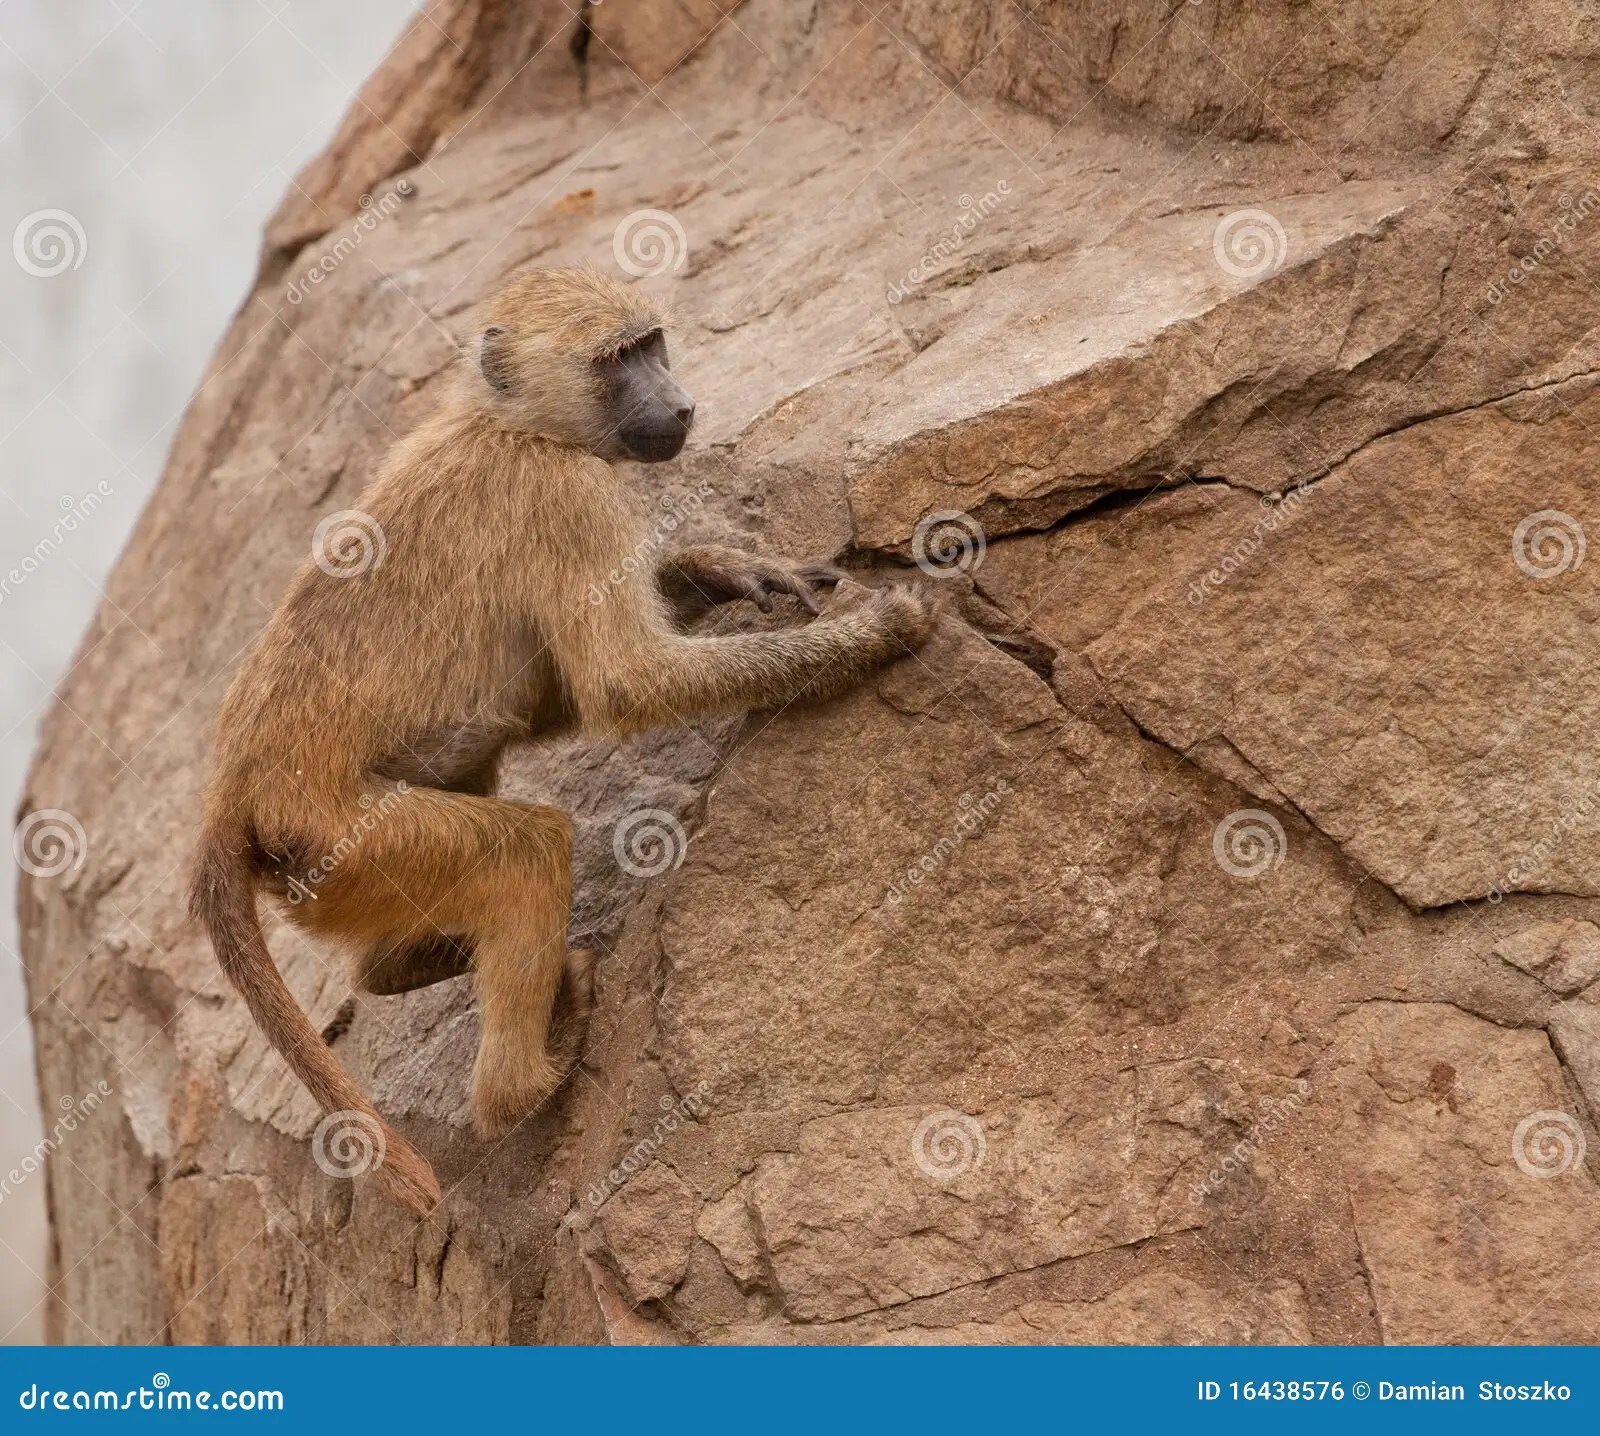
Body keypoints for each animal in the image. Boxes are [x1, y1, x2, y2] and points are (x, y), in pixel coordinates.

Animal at [188, 266, 936, 1215]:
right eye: (617, 361)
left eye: (652, 344)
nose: (683, 406)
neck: (513, 423)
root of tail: (236, 790)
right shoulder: (566, 497)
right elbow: (622, 683)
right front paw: (878, 632)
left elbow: (561, 689)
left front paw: (732, 570)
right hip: (343, 838)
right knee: (526, 850)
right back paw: (529, 1074)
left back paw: (402, 969)